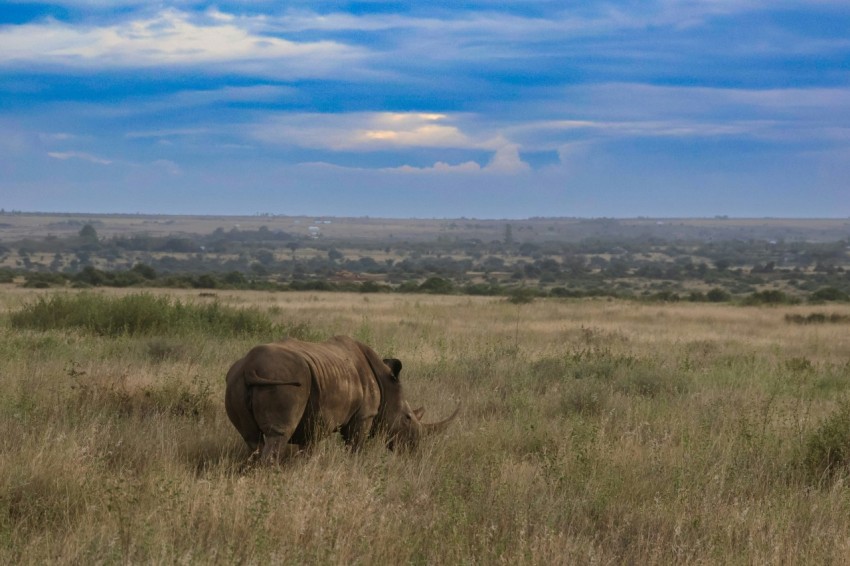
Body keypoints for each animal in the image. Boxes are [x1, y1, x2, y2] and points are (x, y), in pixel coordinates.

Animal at [225, 336, 458, 463]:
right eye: (408, 418)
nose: (414, 448)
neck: (386, 384)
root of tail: (250, 367)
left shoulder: (314, 420)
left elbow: (308, 447)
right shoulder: (364, 415)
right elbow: (355, 446)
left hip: (236, 381)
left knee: (252, 440)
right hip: (282, 381)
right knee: (278, 435)